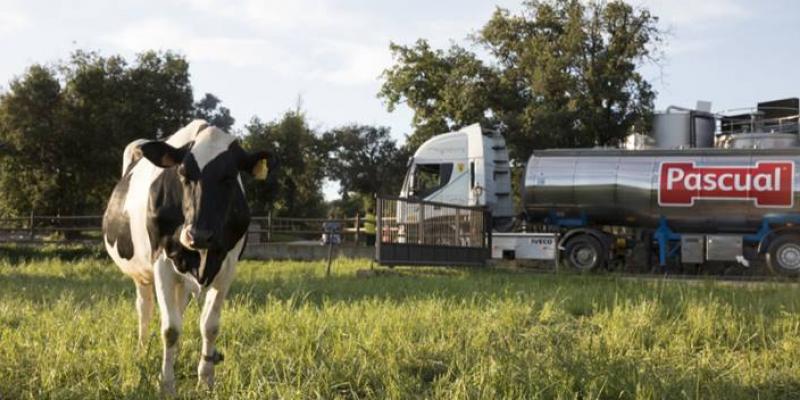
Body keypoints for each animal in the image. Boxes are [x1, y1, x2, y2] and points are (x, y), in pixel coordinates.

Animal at [102, 120, 275, 394]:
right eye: (183, 174)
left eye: (229, 177)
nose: (198, 235)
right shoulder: (161, 262)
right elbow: (170, 329)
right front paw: (166, 384)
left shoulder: (227, 266)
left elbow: (209, 326)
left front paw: (205, 380)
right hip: (142, 274)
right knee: (145, 309)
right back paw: (141, 351)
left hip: (181, 280)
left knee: (178, 308)